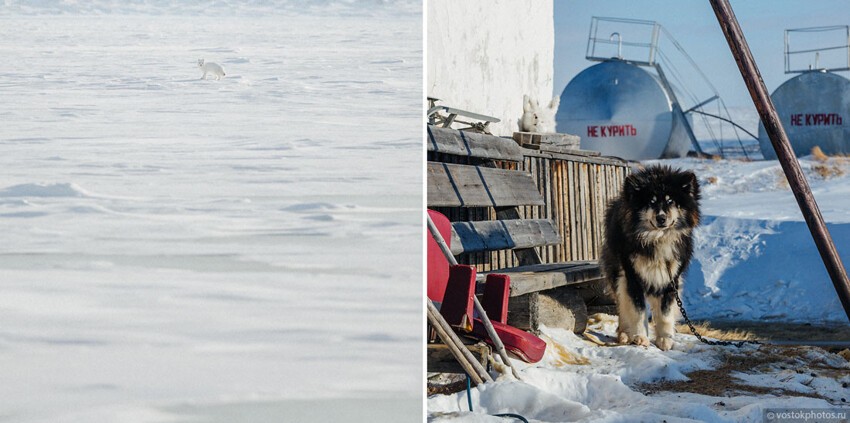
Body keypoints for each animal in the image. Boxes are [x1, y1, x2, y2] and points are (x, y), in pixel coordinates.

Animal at [600, 166, 700, 352]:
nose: (661, 218)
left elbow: (665, 313)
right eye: (651, 202)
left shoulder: (671, 279)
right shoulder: (632, 277)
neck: (657, 238)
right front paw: (640, 337)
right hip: (617, 273)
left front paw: (665, 339)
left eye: (670, 201)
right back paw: (624, 334)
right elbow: (637, 310)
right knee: (622, 305)